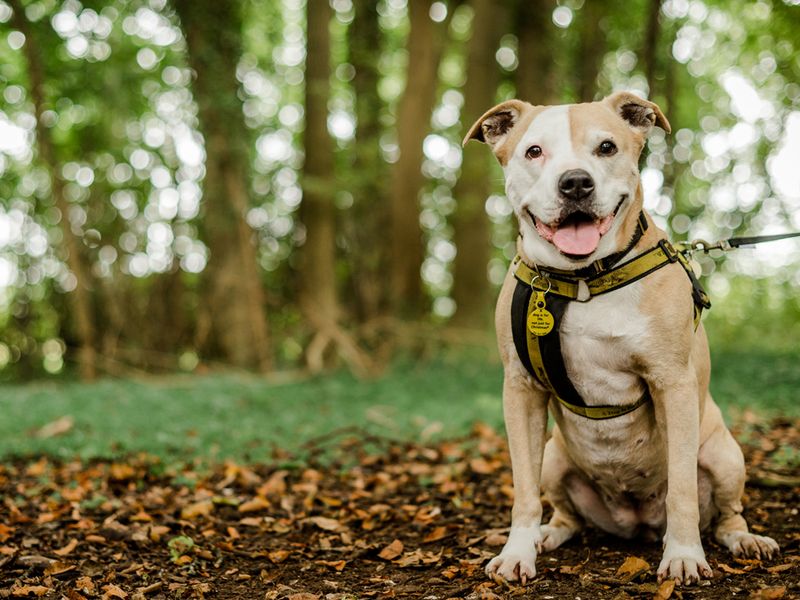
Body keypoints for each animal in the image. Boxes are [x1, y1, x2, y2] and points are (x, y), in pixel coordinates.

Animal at [466, 91, 780, 584]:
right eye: (534, 151)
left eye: (607, 148)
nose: (576, 183)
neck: (583, 280)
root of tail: (637, 523)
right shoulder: (520, 389)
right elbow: (524, 491)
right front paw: (518, 552)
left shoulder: (673, 383)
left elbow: (683, 491)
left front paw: (684, 555)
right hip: (555, 459)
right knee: (566, 515)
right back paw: (547, 535)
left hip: (726, 456)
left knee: (726, 514)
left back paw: (743, 540)